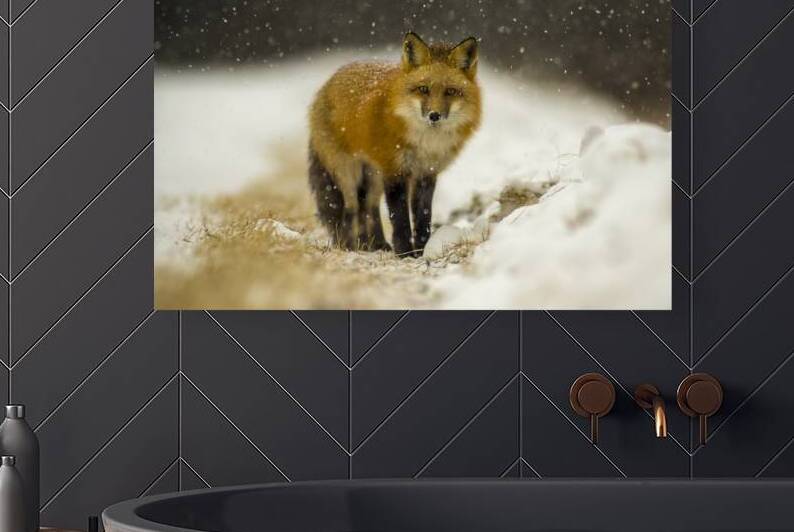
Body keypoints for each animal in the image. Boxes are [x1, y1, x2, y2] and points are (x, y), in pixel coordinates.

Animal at [308, 32, 482, 257]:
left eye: (450, 91)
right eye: (423, 89)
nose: (434, 115)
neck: (426, 144)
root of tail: (328, 83)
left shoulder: (425, 173)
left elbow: (423, 216)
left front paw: (422, 249)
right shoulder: (394, 171)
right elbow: (399, 218)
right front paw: (404, 252)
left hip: (373, 175)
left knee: (369, 207)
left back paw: (374, 244)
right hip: (349, 172)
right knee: (351, 208)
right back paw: (348, 246)